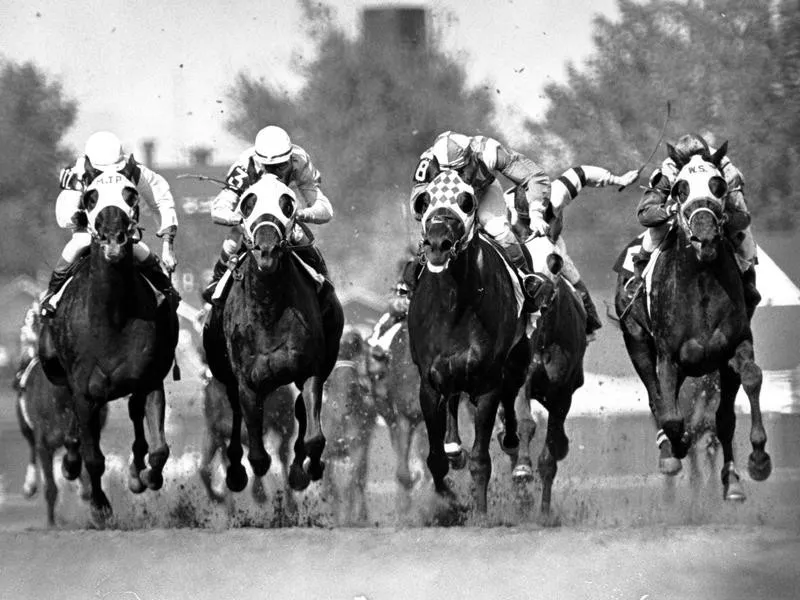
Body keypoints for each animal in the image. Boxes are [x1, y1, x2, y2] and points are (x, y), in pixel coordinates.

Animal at [39, 168, 180, 520]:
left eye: (131, 193)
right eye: (91, 196)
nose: (114, 238)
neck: (112, 318)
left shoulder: (149, 379)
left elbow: (159, 448)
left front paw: (147, 476)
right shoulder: (85, 390)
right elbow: (93, 456)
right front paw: (100, 505)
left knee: (135, 417)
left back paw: (136, 473)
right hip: (55, 368)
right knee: (75, 425)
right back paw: (72, 465)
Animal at [202, 172, 342, 496]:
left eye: (287, 204)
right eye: (247, 203)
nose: (266, 251)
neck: (268, 310)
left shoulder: (311, 370)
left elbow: (313, 436)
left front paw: (308, 469)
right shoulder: (247, 382)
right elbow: (256, 451)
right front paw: (246, 470)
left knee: (302, 414)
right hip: (223, 373)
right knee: (235, 412)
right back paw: (235, 472)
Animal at [616, 146, 772, 502]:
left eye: (718, 184)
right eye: (679, 189)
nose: (704, 234)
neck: (700, 281)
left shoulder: (734, 347)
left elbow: (750, 381)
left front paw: (757, 460)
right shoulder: (668, 357)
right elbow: (672, 417)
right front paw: (676, 448)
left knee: (722, 419)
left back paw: (732, 480)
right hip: (638, 343)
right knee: (658, 401)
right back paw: (669, 453)